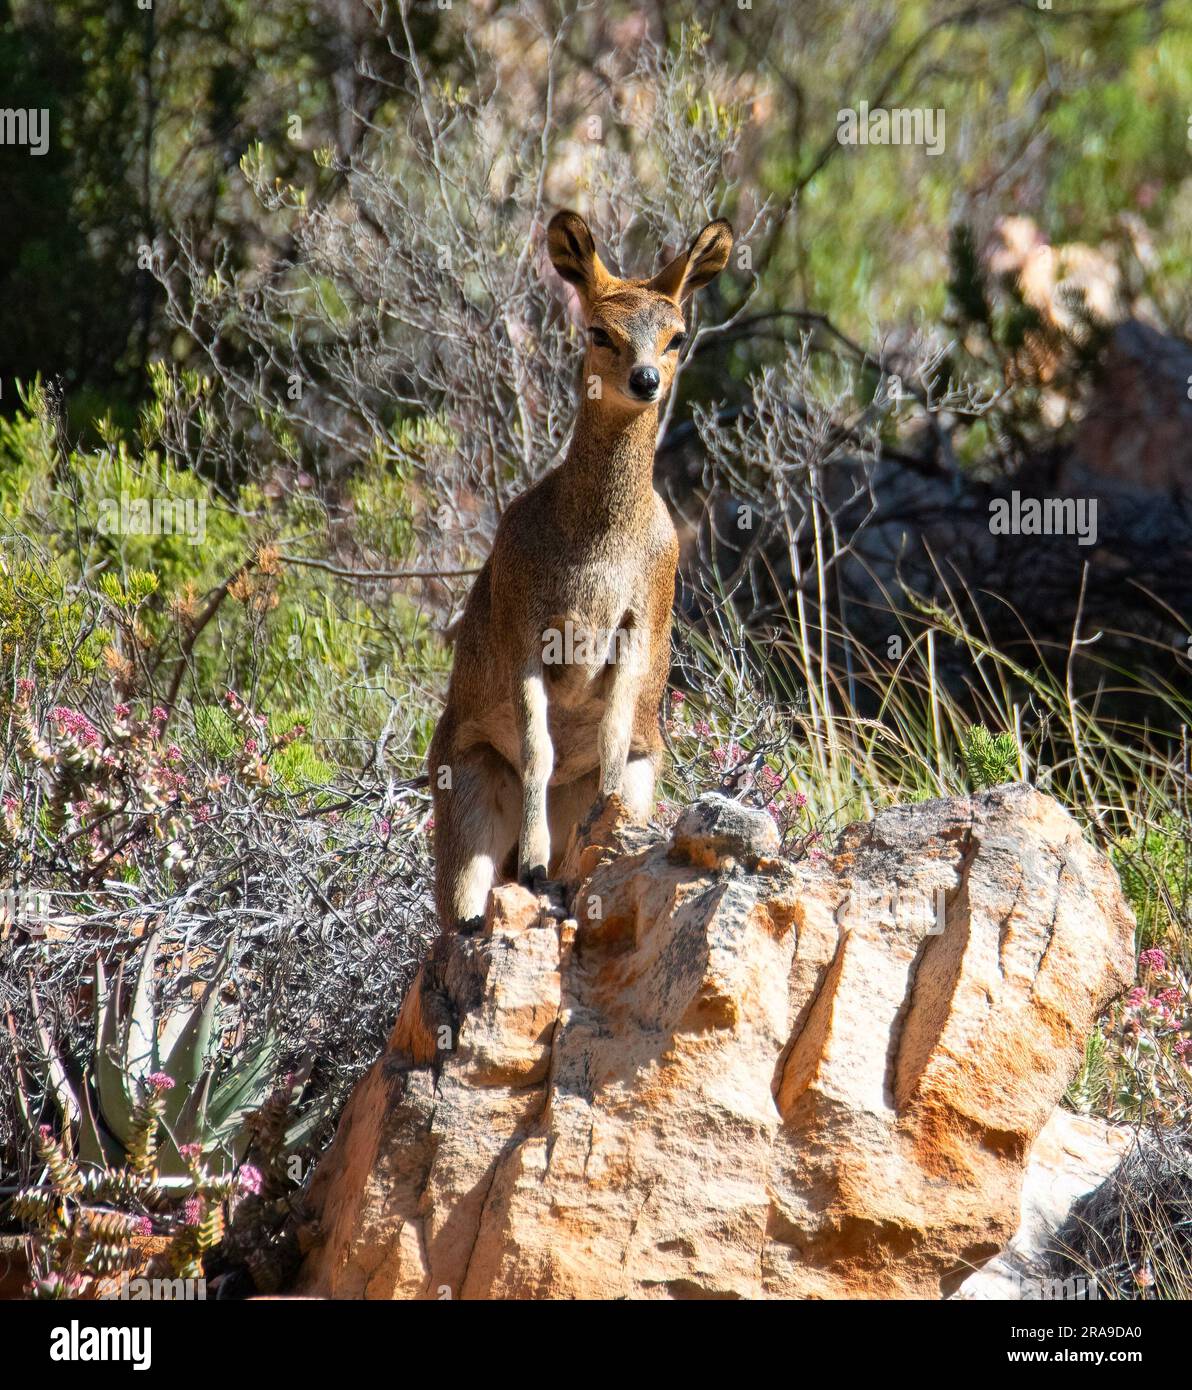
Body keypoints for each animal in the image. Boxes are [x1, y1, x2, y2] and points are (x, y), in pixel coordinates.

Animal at [427, 208, 722, 922]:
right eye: (599, 330)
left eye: (676, 336)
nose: (645, 380)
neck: (597, 546)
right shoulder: (525, 627)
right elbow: (538, 750)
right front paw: (536, 866)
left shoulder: (639, 621)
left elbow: (611, 750)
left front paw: (587, 850)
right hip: (466, 791)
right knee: (458, 907)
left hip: (646, 773)